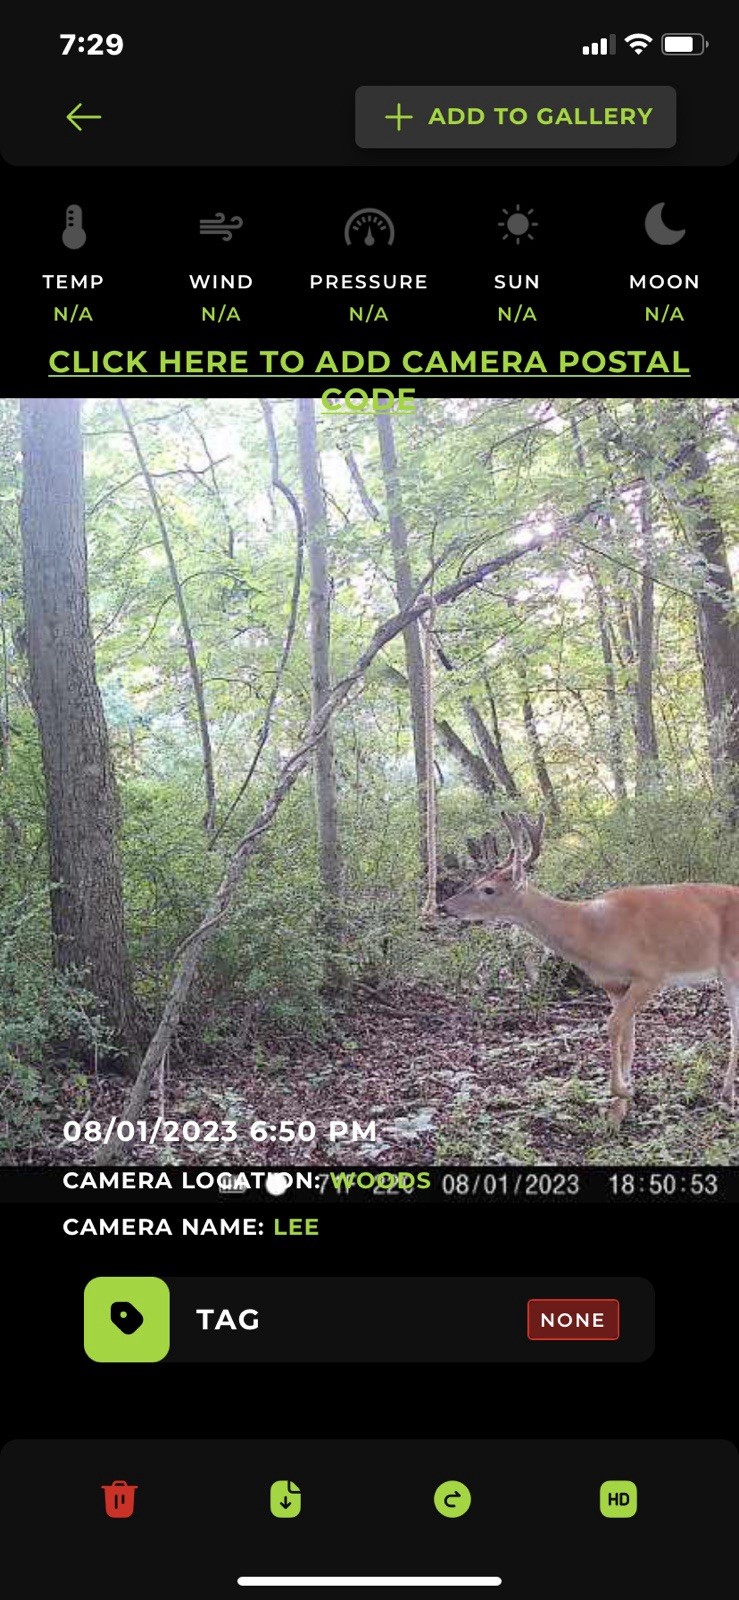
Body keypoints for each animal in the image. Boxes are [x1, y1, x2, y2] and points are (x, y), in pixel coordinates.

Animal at [439, 811, 739, 1126]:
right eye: (476, 879)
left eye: (488, 889)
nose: (444, 906)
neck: (590, 931)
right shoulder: (614, 985)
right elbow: (627, 1038)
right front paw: (618, 1109)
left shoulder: (651, 973)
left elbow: (613, 1025)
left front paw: (623, 1091)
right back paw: (726, 1092)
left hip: (731, 964)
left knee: (734, 1026)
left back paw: (727, 1095)